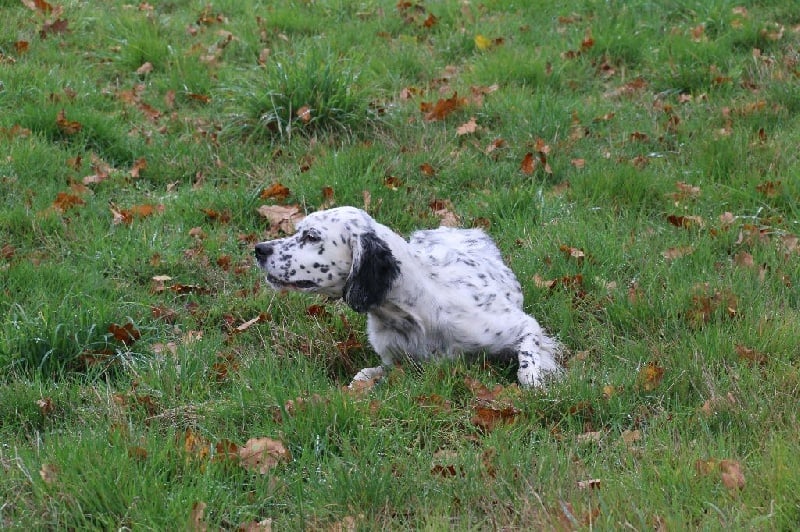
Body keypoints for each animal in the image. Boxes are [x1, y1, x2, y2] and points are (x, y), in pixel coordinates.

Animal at [254, 206, 562, 387]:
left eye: (311, 236)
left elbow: (529, 361)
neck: (414, 316)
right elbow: (365, 375)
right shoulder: (394, 361)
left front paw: (537, 377)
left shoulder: (521, 325)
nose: (259, 249)